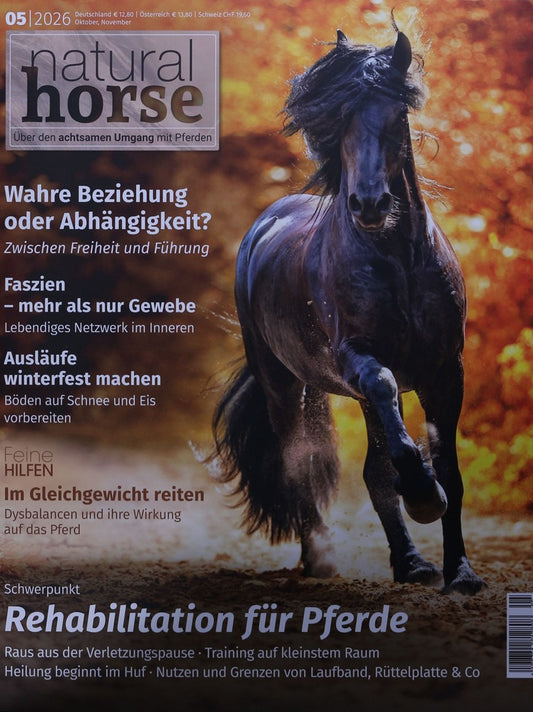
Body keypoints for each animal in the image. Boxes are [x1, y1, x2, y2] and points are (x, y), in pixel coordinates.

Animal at [213, 29, 486, 594]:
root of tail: (263, 226)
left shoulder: (446, 370)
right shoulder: (360, 362)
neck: (399, 260)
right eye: (341, 119)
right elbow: (389, 429)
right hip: (284, 385)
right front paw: (423, 498)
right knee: (298, 462)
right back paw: (320, 557)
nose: (370, 205)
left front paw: (461, 572)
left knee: (375, 471)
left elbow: (448, 470)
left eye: (396, 115)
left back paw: (412, 564)